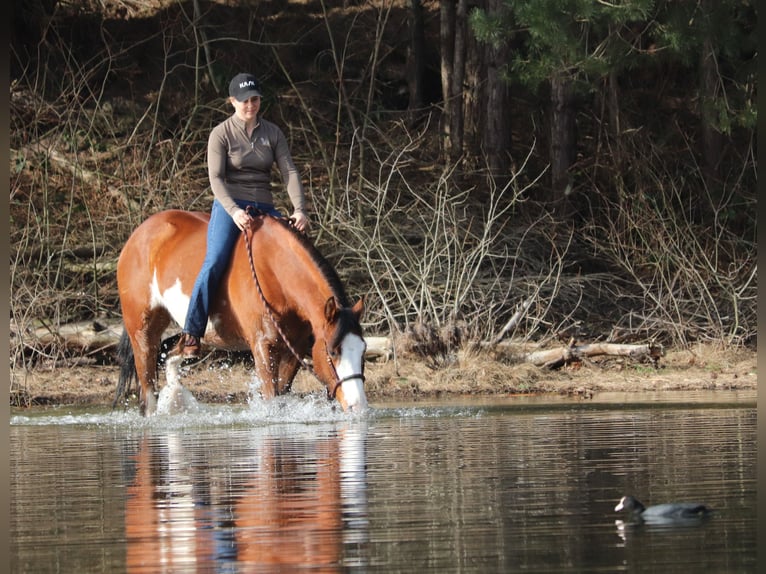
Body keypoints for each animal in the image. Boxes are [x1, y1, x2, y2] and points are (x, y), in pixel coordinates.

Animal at [113, 209, 367, 415]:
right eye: (332, 352)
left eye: (363, 350)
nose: (358, 406)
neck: (275, 273)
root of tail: (139, 234)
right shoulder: (263, 347)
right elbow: (272, 399)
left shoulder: (294, 348)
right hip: (142, 331)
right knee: (147, 389)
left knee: (170, 354)